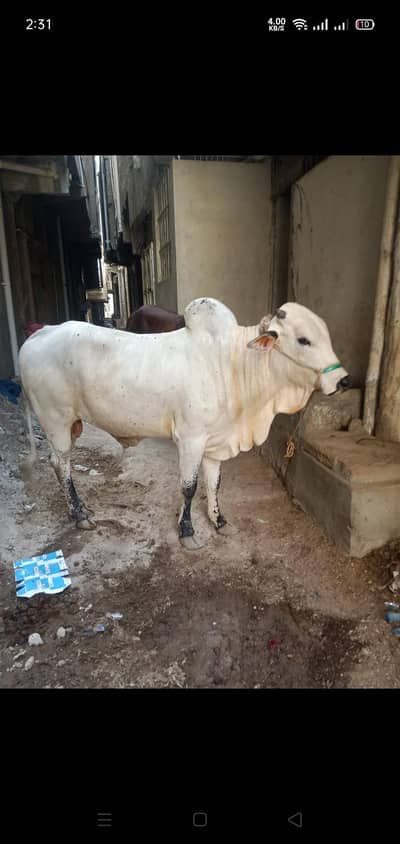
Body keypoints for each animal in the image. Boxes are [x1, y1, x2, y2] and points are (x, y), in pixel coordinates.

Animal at [19, 297, 349, 550]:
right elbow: (189, 488)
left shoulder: (215, 443)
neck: (232, 363)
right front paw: (187, 532)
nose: (343, 380)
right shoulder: (190, 439)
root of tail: (39, 333)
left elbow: (214, 483)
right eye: (303, 340)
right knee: (61, 465)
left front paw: (219, 521)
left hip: (71, 424)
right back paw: (79, 515)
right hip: (56, 421)